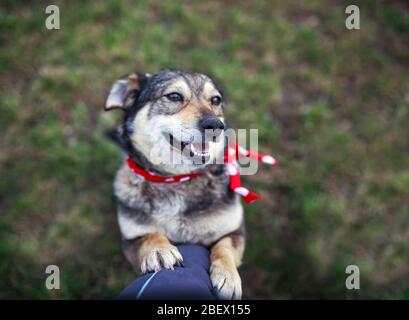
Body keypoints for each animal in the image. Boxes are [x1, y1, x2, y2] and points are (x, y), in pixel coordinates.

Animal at [105, 69, 245, 298]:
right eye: (174, 96)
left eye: (216, 100)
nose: (216, 125)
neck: (176, 179)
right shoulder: (131, 238)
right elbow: (149, 236)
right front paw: (159, 251)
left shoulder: (235, 231)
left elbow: (224, 248)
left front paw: (228, 276)